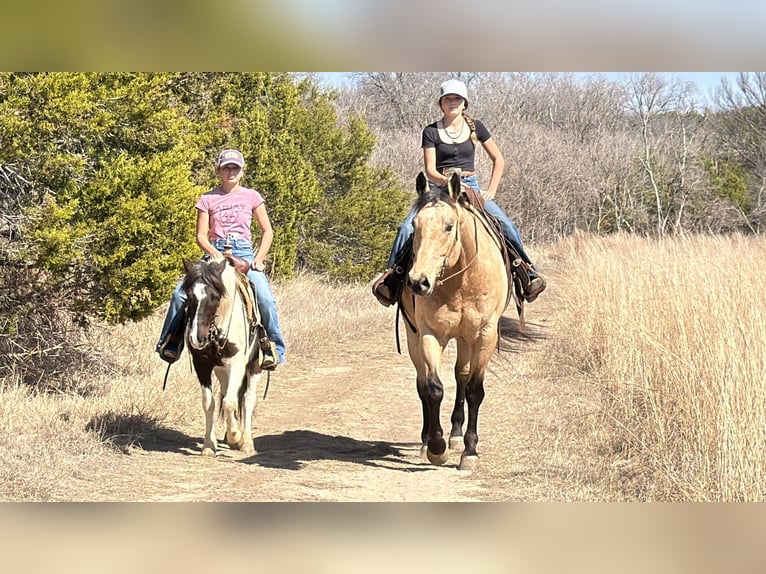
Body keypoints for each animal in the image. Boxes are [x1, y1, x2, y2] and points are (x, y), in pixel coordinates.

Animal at [182, 256, 263, 457]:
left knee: (248, 399)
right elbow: (209, 403)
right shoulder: (202, 365)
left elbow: (230, 403)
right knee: (228, 393)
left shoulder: (236, 363)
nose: (197, 338)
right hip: (221, 370)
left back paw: (246, 442)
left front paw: (236, 437)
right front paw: (209, 445)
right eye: (189, 296)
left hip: (254, 366)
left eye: (215, 297)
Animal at [400, 172, 510, 471]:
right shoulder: (429, 334)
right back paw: (427, 440)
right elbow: (434, 388)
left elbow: (474, 390)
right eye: (414, 225)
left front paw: (469, 451)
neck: (461, 281)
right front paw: (437, 448)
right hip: (413, 336)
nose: (419, 282)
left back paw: (457, 435)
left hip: (465, 338)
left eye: (449, 226)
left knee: (462, 375)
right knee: (422, 381)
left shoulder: (485, 335)